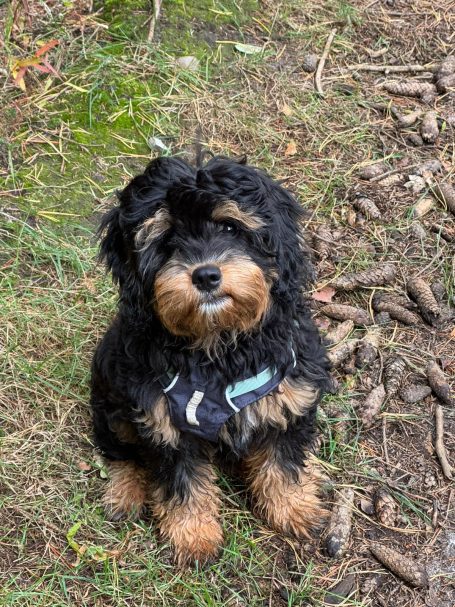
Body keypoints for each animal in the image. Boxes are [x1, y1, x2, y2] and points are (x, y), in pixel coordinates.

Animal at [90, 155, 330, 566]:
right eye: (167, 241)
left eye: (230, 227)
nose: (205, 275)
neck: (219, 345)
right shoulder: (165, 420)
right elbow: (183, 482)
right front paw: (194, 536)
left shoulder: (290, 394)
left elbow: (282, 463)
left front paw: (293, 508)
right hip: (112, 404)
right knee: (123, 452)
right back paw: (125, 493)